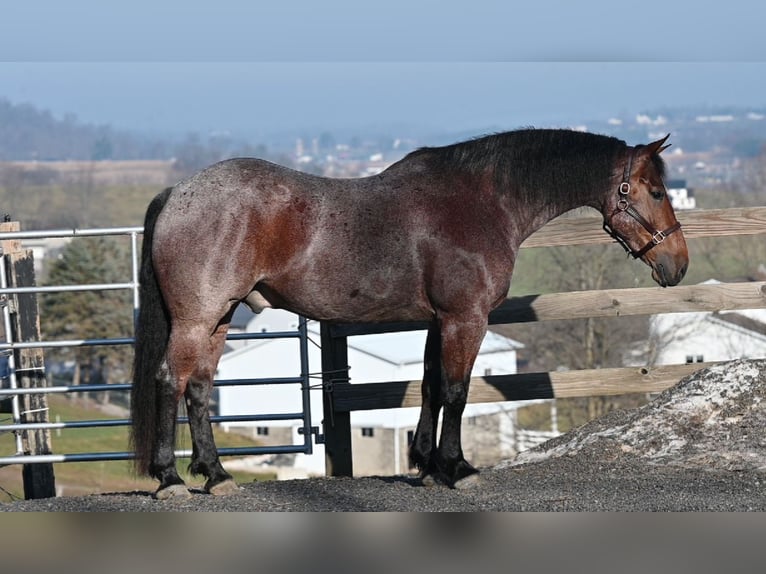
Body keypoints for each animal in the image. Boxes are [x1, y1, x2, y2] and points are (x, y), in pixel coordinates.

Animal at [129, 128, 688, 499]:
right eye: (656, 191)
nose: (677, 264)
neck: (483, 201)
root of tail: (179, 193)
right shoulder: (466, 317)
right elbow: (458, 391)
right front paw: (457, 468)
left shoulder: (439, 319)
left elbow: (430, 385)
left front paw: (425, 463)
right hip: (197, 318)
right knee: (170, 380)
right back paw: (171, 479)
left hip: (219, 318)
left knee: (199, 387)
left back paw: (217, 475)